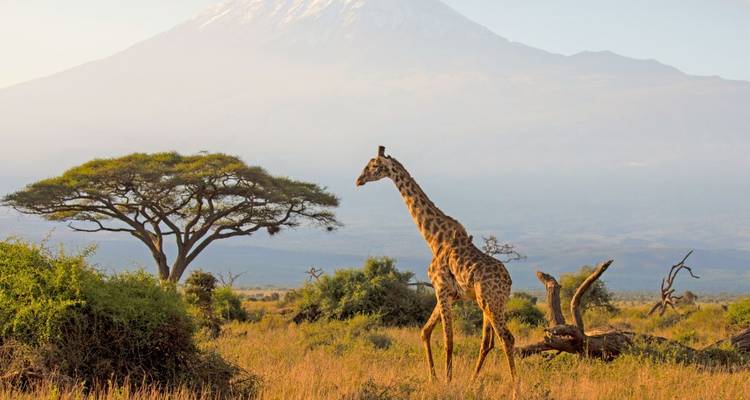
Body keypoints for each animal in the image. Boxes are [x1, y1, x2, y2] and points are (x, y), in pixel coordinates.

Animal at [356, 146, 516, 387]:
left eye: (374, 165)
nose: (359, 180)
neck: (434, 239)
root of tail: (508, 282)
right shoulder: (449, 294)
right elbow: (425, 331)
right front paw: (434, 377)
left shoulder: (441, 288)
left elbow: (448, 339)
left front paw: (447, 381)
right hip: (490, 303)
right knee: (488, 342)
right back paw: (472, 381)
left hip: (490, 301)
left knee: (507, 338)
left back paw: (517, 386)